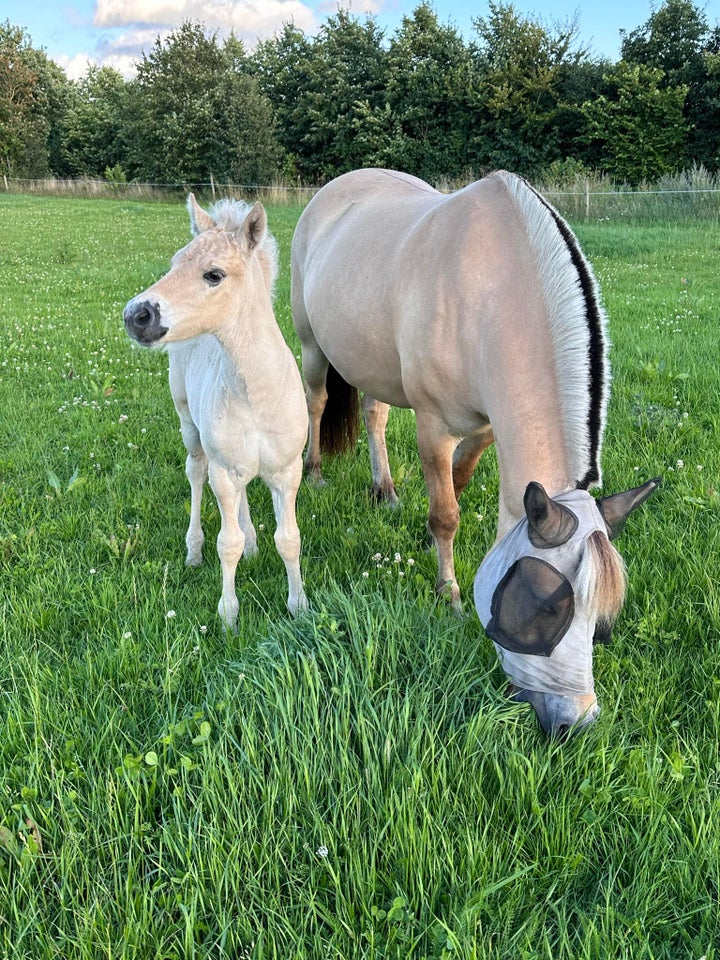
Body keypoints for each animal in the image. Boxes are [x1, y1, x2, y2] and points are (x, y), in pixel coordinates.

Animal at [292, 169, 660, 736]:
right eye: (540, 605)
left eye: (601, 621)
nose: (576, 723)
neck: (488, 292)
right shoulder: (433, 426)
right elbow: (445, 512)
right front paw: (449, 595)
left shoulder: (486, 428)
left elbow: (458, 482)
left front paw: (428, 545)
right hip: (312, 346)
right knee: (316, 402)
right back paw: (313, 473)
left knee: (374, 415)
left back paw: (385, 490)